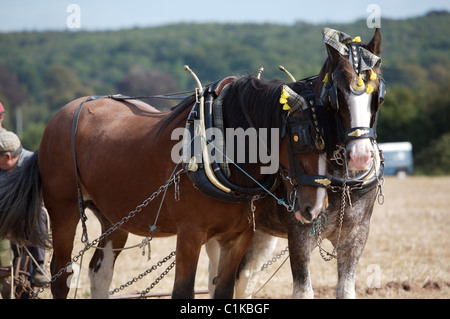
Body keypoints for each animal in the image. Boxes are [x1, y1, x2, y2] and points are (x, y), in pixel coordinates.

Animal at [0, 68, 330, 300]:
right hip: (63, 208)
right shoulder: (190, 234)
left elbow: (223, 290)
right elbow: (182, 290)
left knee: (99, 271)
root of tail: (62, 116)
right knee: (62, 274)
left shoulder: (239, 236)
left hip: (115, 217)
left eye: (332, 139)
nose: (314, 208)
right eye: (300, 137)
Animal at [207, 27, 386, 300]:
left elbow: (346, 290)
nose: (360, 156)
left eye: (377, 96)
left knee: (245, 277)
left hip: (259, 233)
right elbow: (303, 291)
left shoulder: (356, 236)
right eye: (337, 95)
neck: (339, 183)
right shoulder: (299, 237)